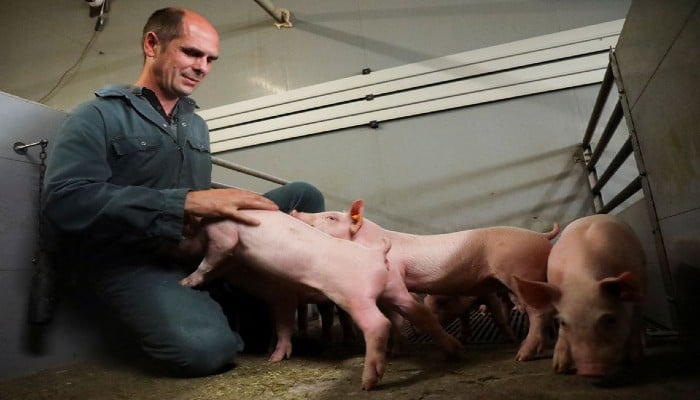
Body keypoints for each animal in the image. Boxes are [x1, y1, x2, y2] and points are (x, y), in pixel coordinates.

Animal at [290, 199, 556, 360]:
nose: (294, 211)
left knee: (538, 313)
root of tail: (541, 236)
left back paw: (521, 355)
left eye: (331, 218)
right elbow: (394, 320)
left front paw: (455, 351)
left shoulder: (395, 277)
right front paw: (395, 353)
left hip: (519, 273)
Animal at [512, 214, 648, 376]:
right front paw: (558, 369)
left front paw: (636, 360)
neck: (581, 280)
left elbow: (635, 321)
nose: (590, 370)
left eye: (611, 320)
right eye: (563, 322)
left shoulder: (640, 285)